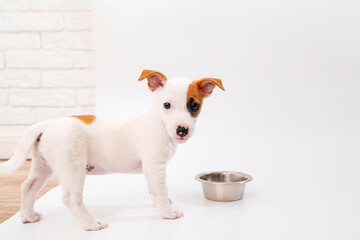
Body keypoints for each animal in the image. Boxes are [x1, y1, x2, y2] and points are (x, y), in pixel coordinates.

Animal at [0, 69, 224, 231]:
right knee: (71, 198)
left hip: (43, 166)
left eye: (194, 106)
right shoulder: (156, 166)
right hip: (73, 166)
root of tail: (47, 124)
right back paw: (91, 224)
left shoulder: (150, 170)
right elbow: (161, 190)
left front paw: (160, 204)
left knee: (28, 187)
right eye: (166, 105)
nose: (182, 130)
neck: (160, 123)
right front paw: (167, 212)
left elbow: (153, 189)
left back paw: (28, 217)